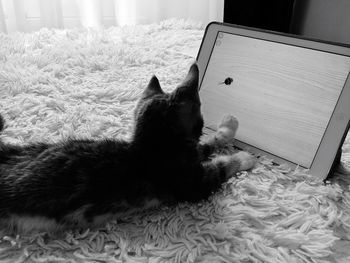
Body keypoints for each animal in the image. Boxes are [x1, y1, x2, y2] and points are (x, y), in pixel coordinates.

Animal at [0, 64, 258, 235]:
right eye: (201, 120)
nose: (204, 125)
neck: (152, 147)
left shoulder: (190, 154)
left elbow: (208, 144)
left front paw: (227, 128)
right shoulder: (191, 183)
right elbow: (220, 166)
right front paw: (243, 157)